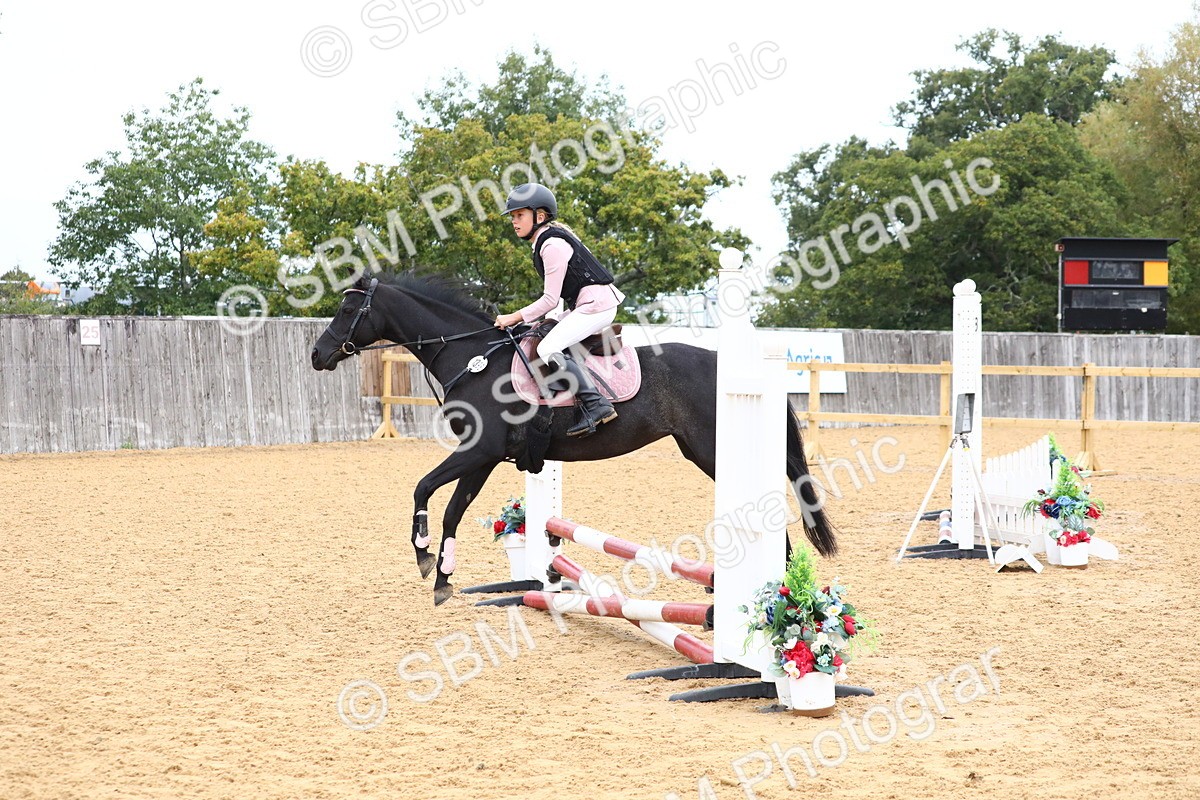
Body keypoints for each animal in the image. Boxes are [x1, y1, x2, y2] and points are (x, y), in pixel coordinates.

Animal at [311, 272, 836, 605]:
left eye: (347, 308)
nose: (317, 355)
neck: (473, 357)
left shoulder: (477, 451)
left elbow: (423, 488)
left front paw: (423, 557)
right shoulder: (484, 459)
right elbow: (452, 509)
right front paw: (442, 577)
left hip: (714, 452)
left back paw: (776, 590)